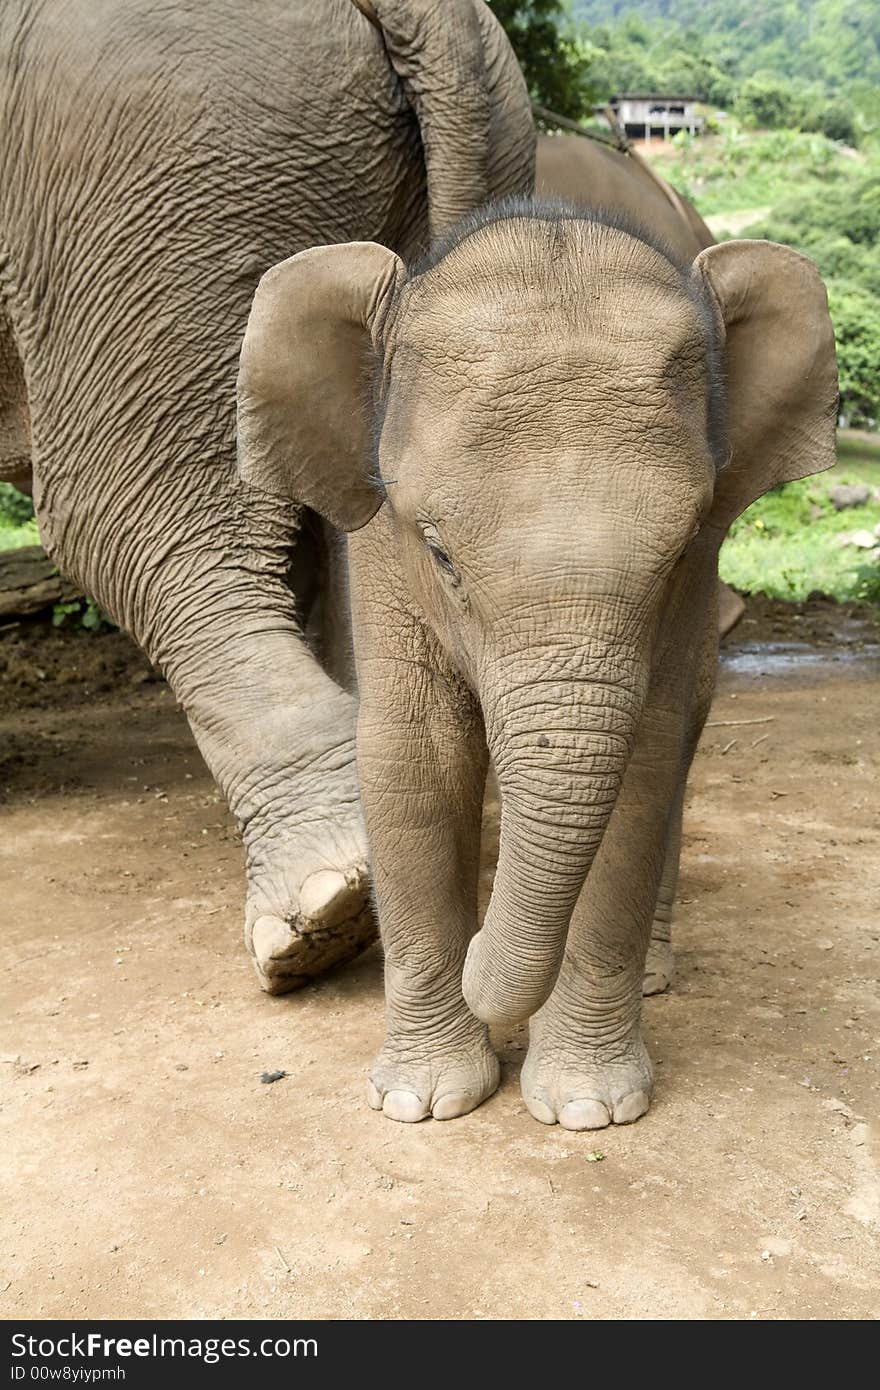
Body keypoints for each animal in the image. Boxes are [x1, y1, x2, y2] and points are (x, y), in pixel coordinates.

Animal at [234, 201, 839, 1123]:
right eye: (440, 554)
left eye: (678, 555)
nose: (485, 943)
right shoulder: (379, 550)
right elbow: (413, 757)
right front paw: (422, 1102)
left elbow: (644, 768)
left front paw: (589, 1108)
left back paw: (652, 979)